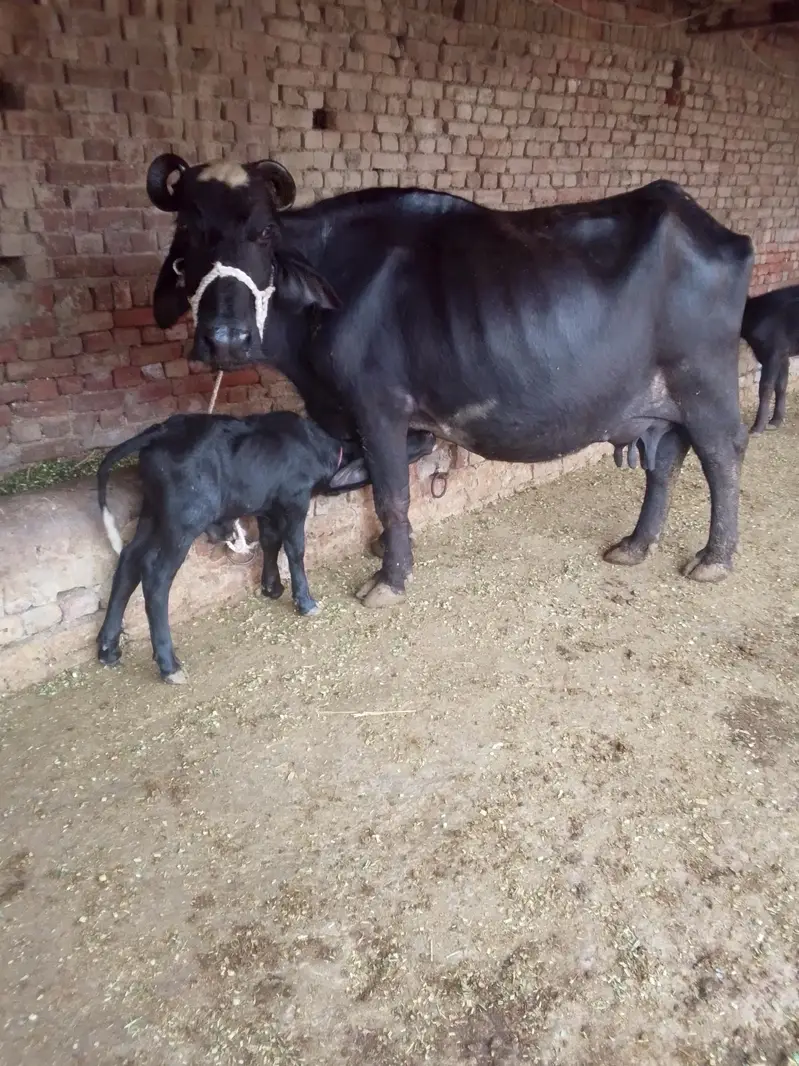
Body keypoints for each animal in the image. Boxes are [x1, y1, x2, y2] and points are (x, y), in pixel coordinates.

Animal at [144, 153, 754, 609]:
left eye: (265, 232)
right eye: (189, 232)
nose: (227, 339)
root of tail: (714, 229)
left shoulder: (378, 409)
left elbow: (390, 492)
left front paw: (390, 577)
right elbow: (372, 478)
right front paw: (384, 547)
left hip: (704, 385)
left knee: (722, 456)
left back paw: (714, 559)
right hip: (662, 405)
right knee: (665, 461)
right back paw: (636, 544)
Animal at [741, 284, 798, 434]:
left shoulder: (773, 353)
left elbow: (765, 387)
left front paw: (757, 428)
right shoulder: (783, 353)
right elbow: (781, 384)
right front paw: (775, 421)